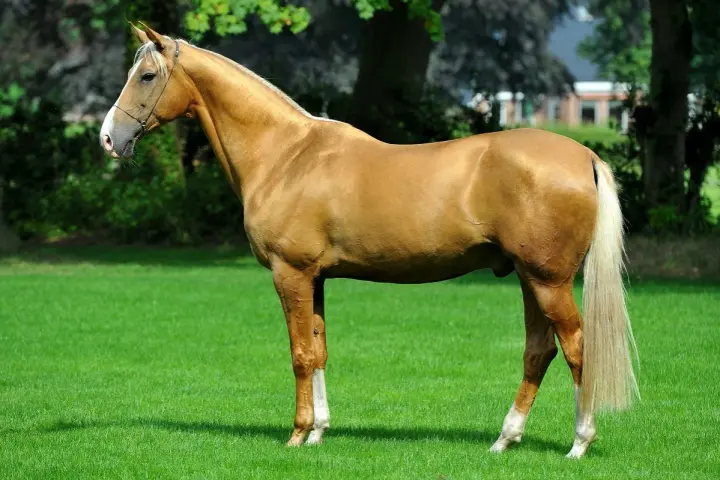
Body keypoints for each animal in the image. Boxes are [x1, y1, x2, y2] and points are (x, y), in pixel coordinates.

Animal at [99, 22, 639, 458]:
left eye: (147, 76)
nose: (108, 138)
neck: (286, 155)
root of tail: (585, 156)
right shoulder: (315, 278)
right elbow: (318, 350)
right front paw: (319, 432)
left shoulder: (290, 273)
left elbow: (299, 354)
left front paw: (296, 435)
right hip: (529, 278)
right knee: (538, 351)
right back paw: (505, 439)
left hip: (549, 281)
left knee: (576, 348)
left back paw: (579, 443)